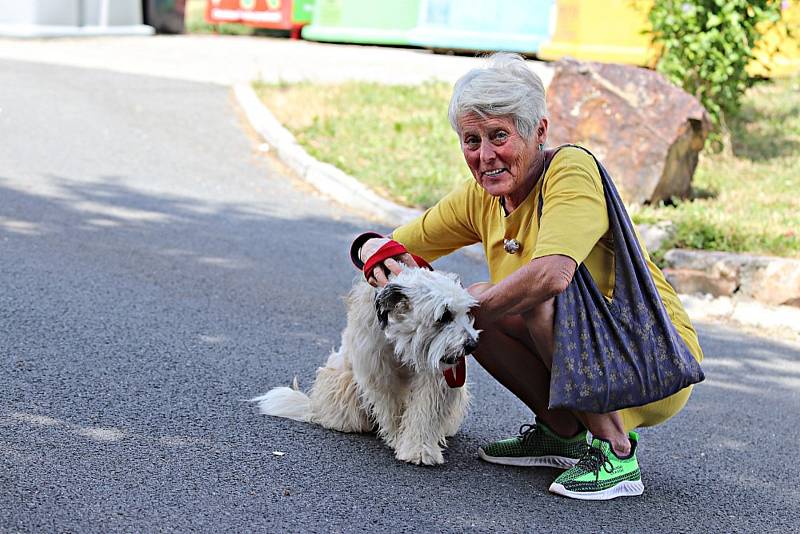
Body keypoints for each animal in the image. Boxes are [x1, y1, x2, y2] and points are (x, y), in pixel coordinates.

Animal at [253, 270, 478, 466]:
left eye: (465, 313)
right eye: (444, 316)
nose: (472, 345)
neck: (400, 340)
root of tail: (313, 406)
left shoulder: (434, 379)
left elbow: (424, 413)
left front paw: (420, 449)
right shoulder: (378, 375)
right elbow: (390, 409)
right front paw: (397, 438)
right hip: (343, 383)